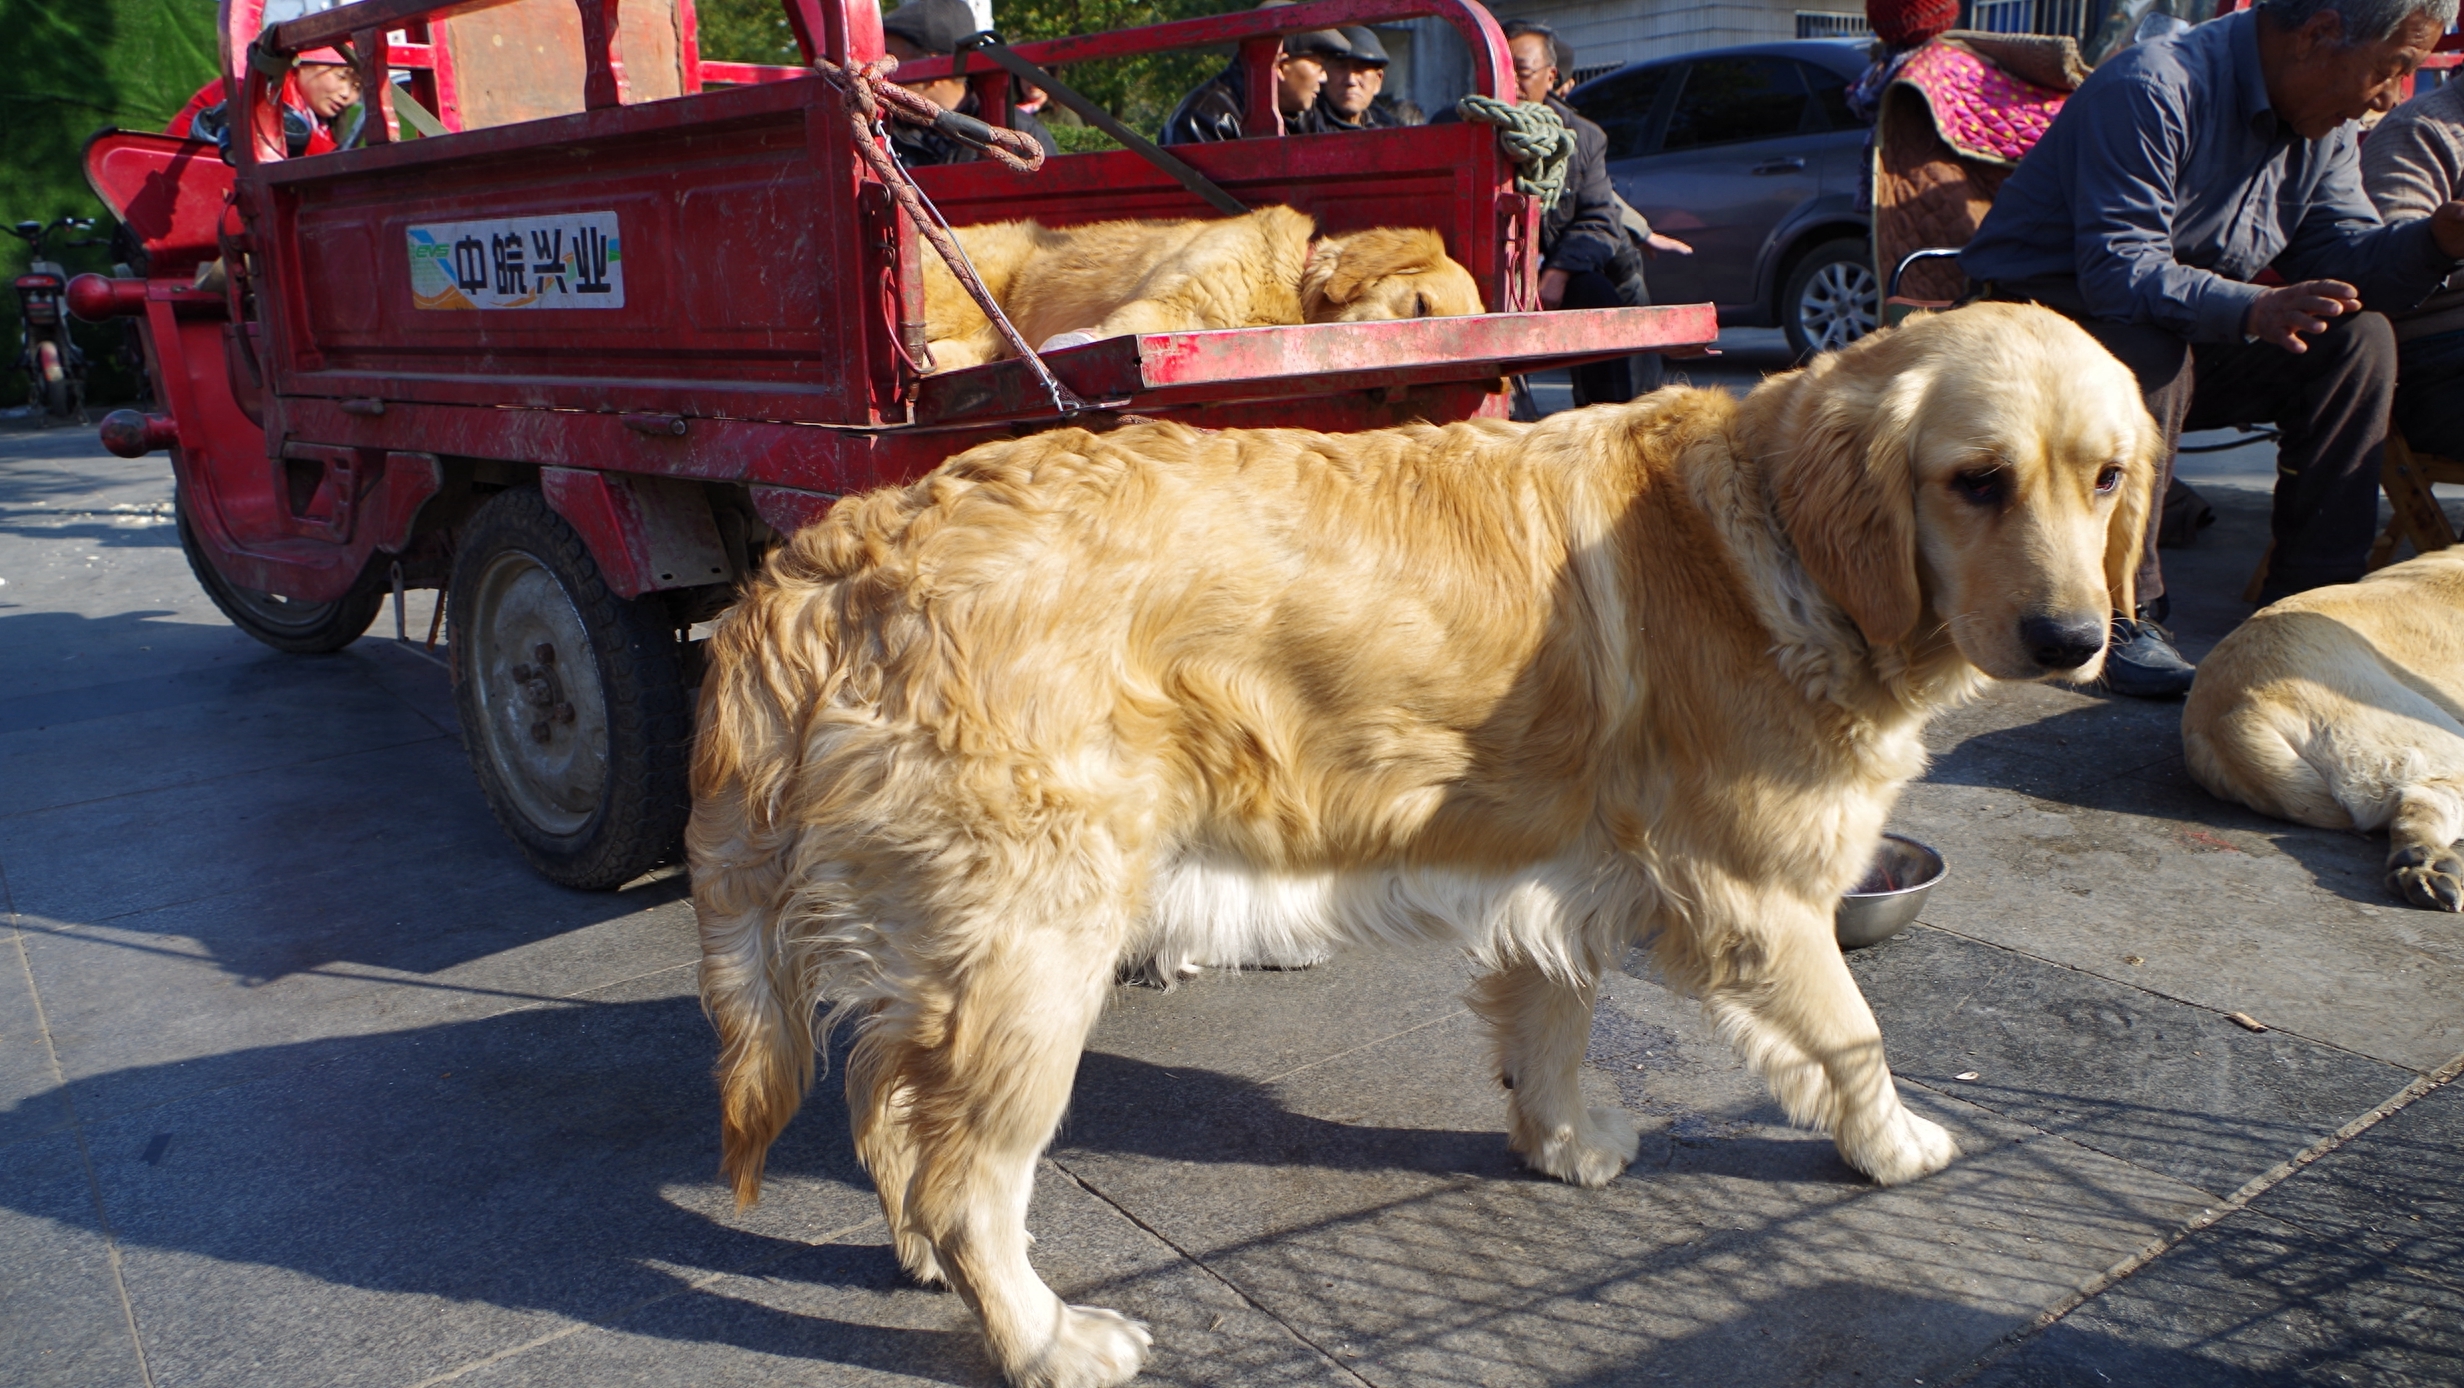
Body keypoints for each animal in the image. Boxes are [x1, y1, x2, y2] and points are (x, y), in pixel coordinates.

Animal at [689, 306, 2158, 1388]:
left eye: (2106, 478)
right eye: (1976, 483)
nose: (2075, 639)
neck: (1771, 532)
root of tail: (827, 563)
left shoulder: (1565, 866)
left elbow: (1554, 1025)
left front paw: (1562, 1142)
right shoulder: (1755, 891)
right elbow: (1853, 1035)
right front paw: (1893, 1142)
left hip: (946, 955)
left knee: (885, 1104)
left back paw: (921, 1260)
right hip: (1034, 961)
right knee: (965, 1175)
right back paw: (1046, 1336)